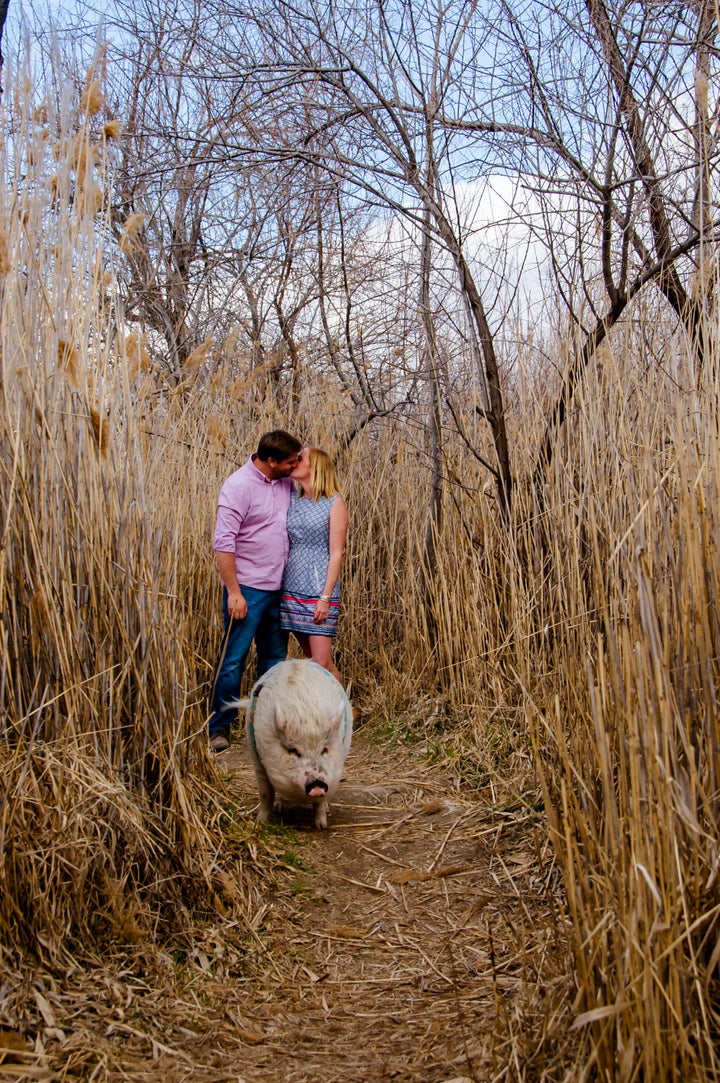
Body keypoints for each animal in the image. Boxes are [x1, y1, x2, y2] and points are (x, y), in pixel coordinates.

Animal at [242, 658, 352, 827]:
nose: (317, 784)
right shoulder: (258, 761)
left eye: (324, 749)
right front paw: (260, 823)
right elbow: (266, 793)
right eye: (293, 750)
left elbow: (320, 802)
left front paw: (321, 826)